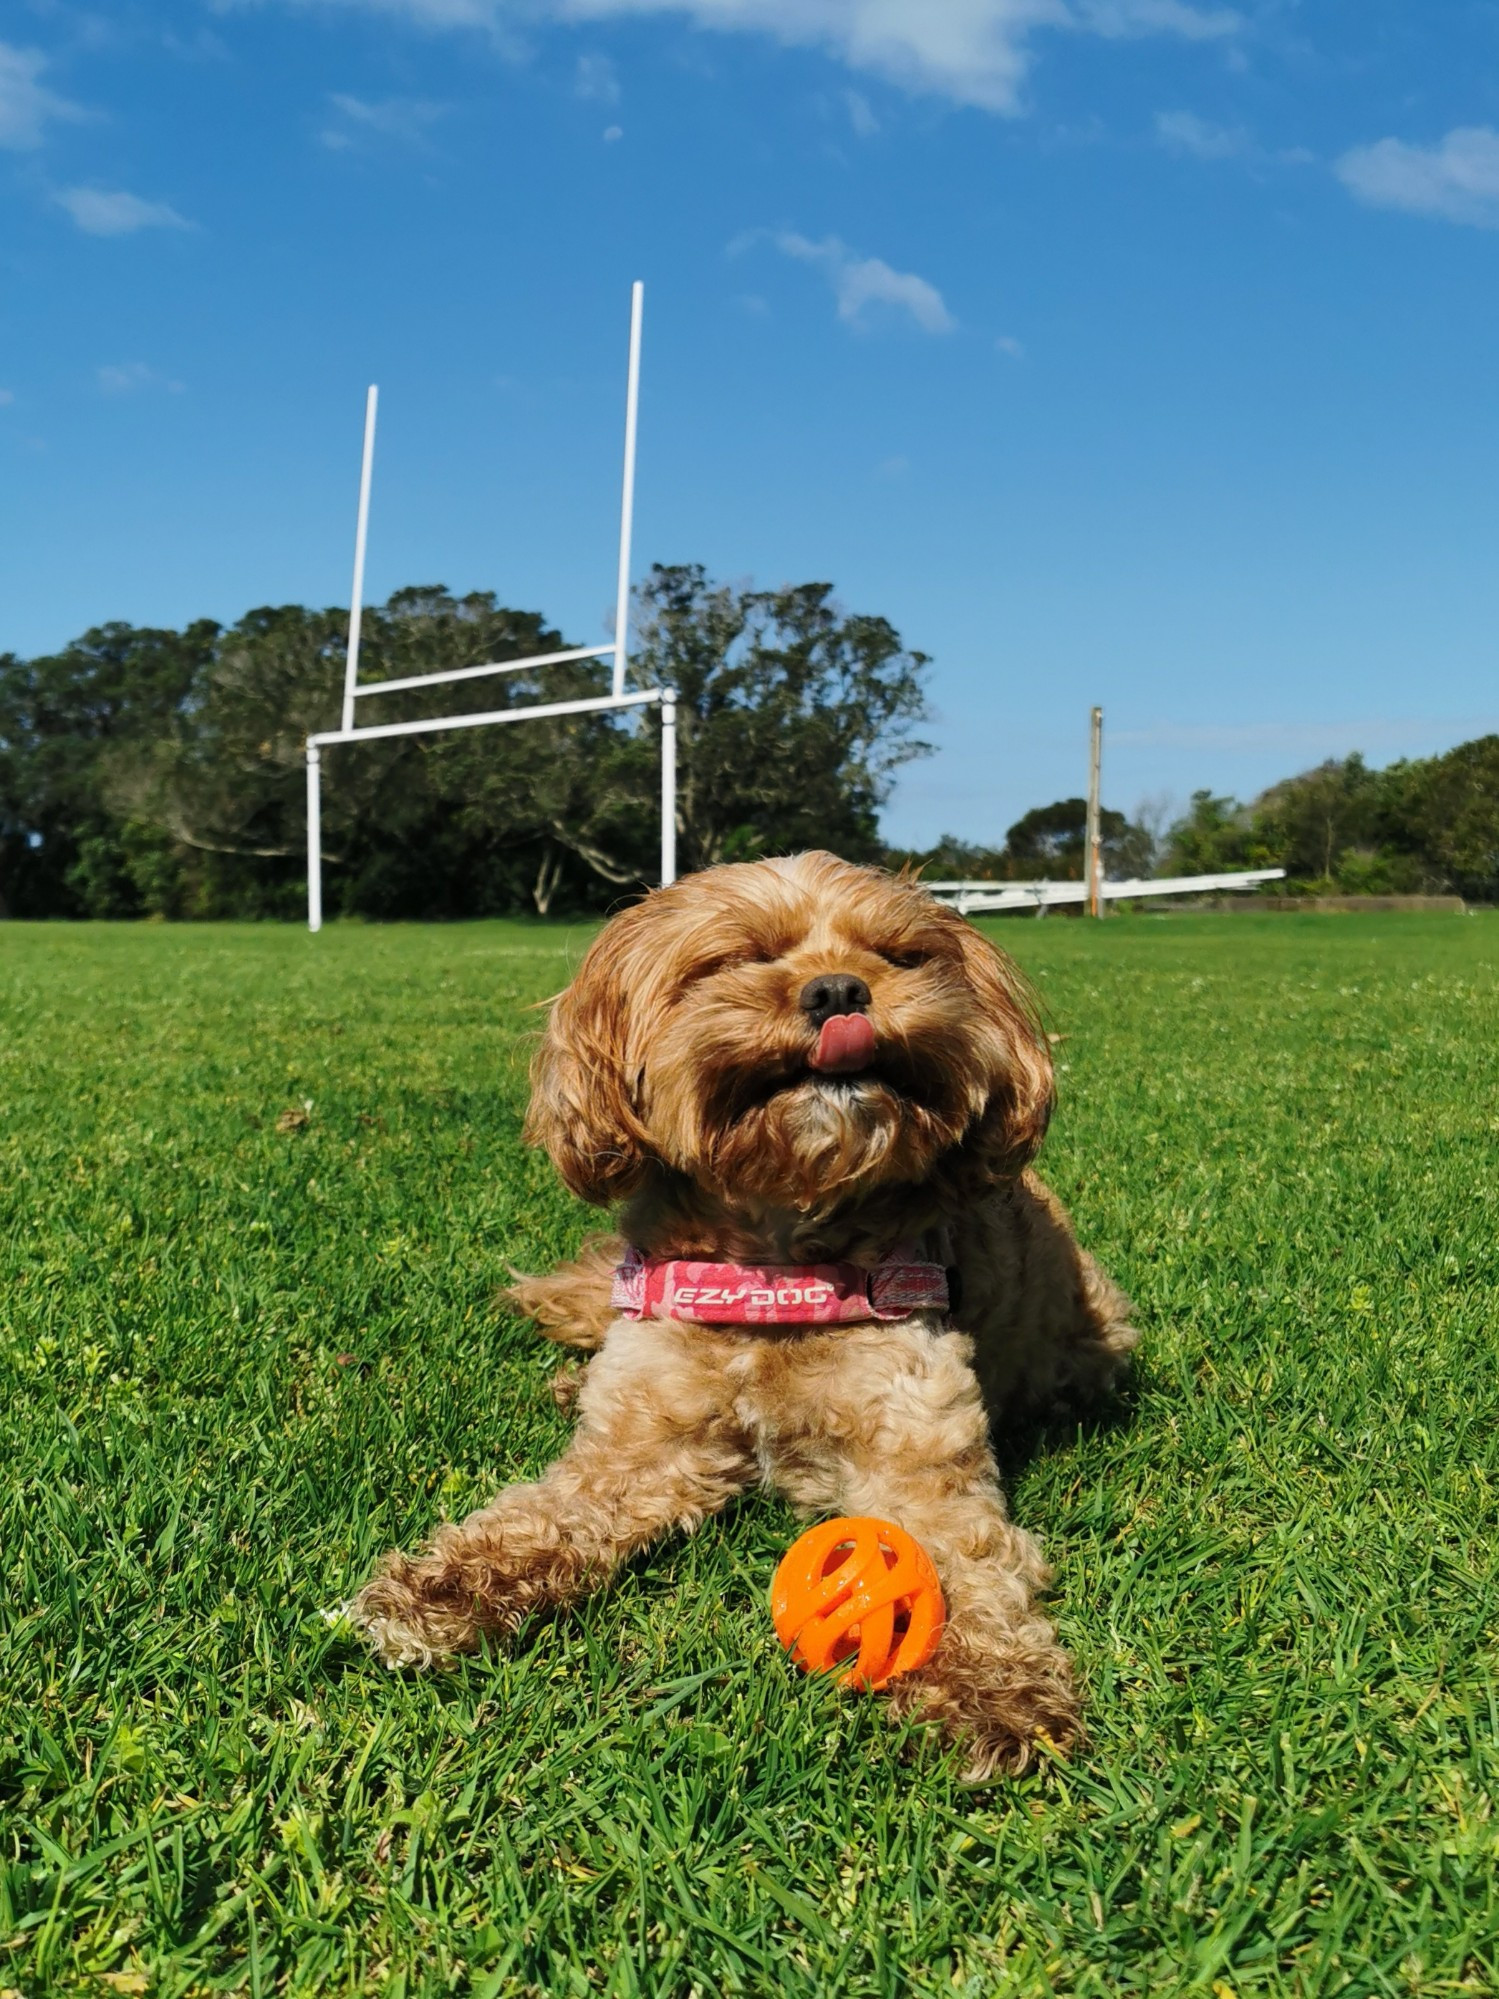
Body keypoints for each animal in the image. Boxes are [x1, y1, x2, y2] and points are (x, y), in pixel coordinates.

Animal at [351, 851, 1135, 1775]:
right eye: (738, 957)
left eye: (898, 955)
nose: (839, 989)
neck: (774, 1264)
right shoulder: (639, 1440)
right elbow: (543, 1512)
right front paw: (444, 1586)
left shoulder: (917, 1455)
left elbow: (959, 1565)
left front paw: (993, 1689)